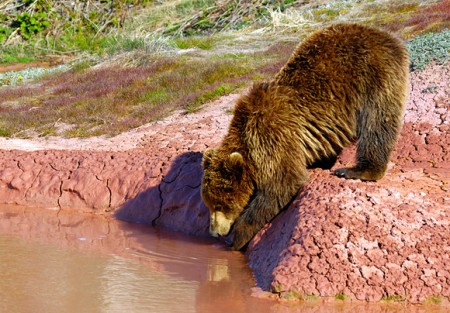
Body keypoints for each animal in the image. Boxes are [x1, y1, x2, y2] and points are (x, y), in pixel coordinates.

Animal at [202, 23, 410, 250]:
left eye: (220, 204)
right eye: (209, 203)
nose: (214, 232)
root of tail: (384, 35)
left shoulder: (272, 133)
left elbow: (283, 181)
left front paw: (237, 238)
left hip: (374, 75)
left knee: (377, 123)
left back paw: (355, 170)